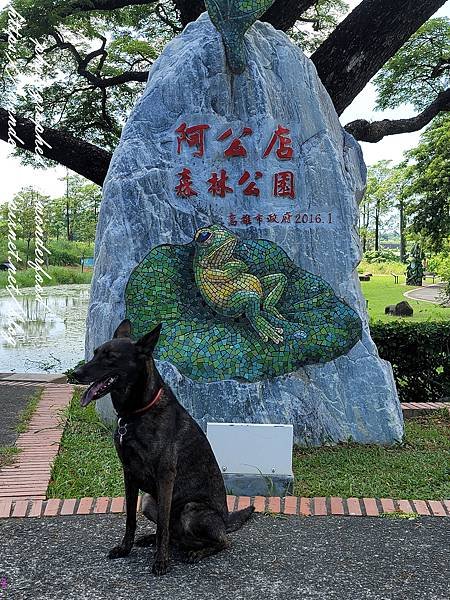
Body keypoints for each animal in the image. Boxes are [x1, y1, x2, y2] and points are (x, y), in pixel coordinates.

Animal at [75, 318, 255, 576]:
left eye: (111, 357)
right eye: (95, 353)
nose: (75, 373)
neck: (136, 413)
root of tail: (225, 521)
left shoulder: (165, 476)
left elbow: (163, 525)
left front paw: (161, 561)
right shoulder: (129, 474)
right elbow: (130, 519)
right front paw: (126, 548)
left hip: (190, 509)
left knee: (221, 541)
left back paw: (196, 551)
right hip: (148, 501)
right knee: (175, 534)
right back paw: (154, 540)